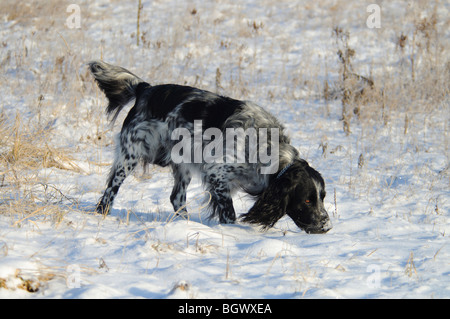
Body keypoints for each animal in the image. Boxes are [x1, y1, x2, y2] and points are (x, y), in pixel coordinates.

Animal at [89, 60, 332, 235]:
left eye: (323, 197)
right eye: (307, 200)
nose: (327, 227)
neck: (267, 149)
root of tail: (144, 89)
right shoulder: (218, 174)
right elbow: (229, 214)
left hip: (183, 164)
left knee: (176, 198)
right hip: (130, 156)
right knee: (109, 192)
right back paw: (102, 214)